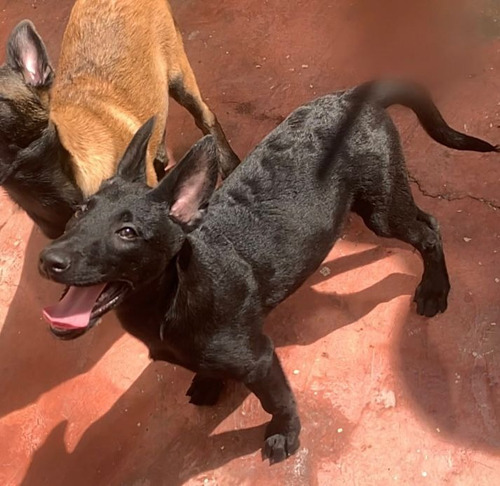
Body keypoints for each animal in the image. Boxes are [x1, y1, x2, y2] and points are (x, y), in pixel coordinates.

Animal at [38, 81, 496, 466]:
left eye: (128, 233)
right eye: (78, 212)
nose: (48, 260)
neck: (177, 291)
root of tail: (351, 97)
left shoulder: (259, 359)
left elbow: (277, 401)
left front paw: (283, 436)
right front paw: (209, 381)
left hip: (381, 208)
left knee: (429, 231)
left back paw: (435, 290)